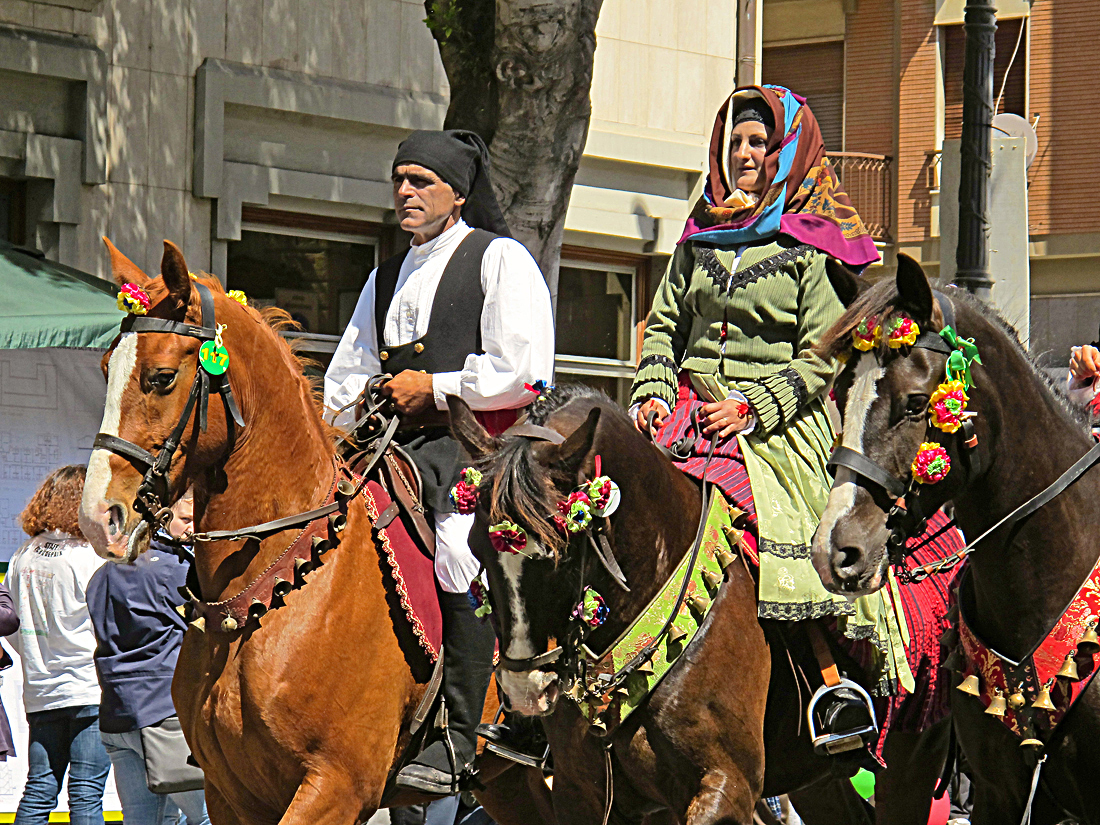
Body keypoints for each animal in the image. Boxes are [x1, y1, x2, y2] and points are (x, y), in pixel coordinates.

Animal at [78, 242, 554, 825]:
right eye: (106, 368)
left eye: (161, 377)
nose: (98, 517)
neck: (274, 582)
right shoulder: (229, 793)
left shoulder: (336, 788)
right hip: (510, 781)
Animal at [451, 389, 950, 825]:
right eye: (476, 546)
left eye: (561, 553)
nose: (525, 690)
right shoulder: (584, 794)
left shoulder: (725, 789)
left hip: (911, 755)